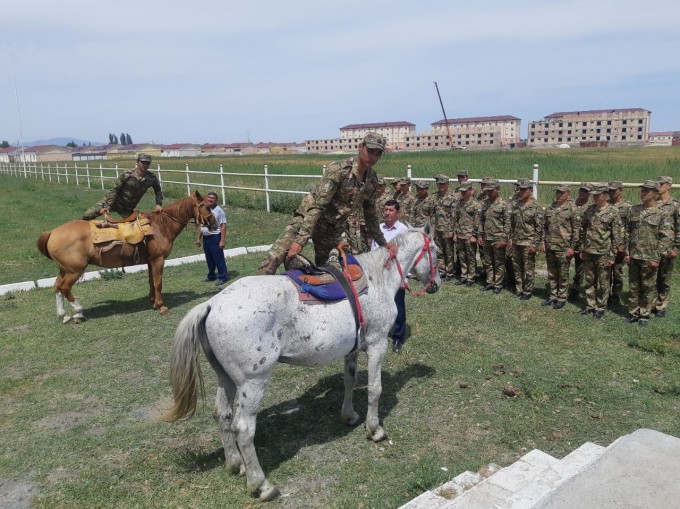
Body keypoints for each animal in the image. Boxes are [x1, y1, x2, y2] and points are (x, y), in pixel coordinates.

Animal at [37, 189, 218, 324]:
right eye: (206, 206)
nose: (215, 224)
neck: (160, 226)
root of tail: (52, 232)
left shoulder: (150, 261)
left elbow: (151, 281)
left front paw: (152, 302)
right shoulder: (158, 260)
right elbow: (158, 283)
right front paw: (161, 306)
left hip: (64, 269)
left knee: (57, 287)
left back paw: (64, 315)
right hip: (75, 270)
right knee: (65, 287)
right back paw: (78, 312)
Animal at [165, 229, 440, 500]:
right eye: (436, 250)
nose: (437, 284)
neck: (377, 279)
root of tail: (211, 305)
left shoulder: (352, 349)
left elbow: (349, 381)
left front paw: (349, 415)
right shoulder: (377, 344)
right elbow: (375, 389)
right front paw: (375, 430)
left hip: (225, 377)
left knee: (222, 414)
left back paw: (235, 464)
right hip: (252, 382)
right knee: (243, 429)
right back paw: (261, 485)